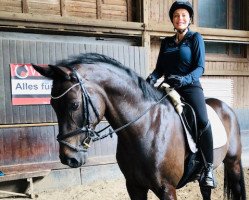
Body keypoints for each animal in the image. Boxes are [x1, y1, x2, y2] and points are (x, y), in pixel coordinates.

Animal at [32, 53, 246, 200]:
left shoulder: (167, 189)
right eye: (53, 105)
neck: (145, 128)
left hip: (233, 163)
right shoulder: (134, 187)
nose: (68, 158)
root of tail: (226, 107)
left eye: (74, 105)